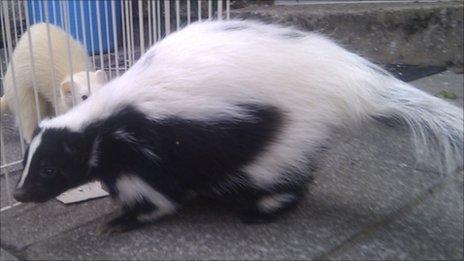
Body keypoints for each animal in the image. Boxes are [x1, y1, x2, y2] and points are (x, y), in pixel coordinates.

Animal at [12, 20, 462, 231]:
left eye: (49, 169)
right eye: (27, 163)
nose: (18, 193)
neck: (101, 117)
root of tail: (346, 81)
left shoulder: (144, 142)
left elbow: (154, 193)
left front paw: (126, 219)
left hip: (278, 130)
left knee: (280, 175)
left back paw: (263, 210)